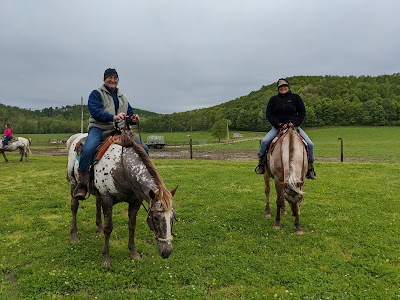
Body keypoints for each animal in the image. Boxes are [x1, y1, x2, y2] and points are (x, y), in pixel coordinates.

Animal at [67, 132, 177, 266]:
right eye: (155, 217)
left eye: (172, 217)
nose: (167, 252)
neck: (122, 167)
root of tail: (76, 137)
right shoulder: (108, 200)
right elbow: (108, 228)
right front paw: (106, 258)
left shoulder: (135, 201)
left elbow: (132, 225)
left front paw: (134, 253)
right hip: (73, 184)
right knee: (74, 207)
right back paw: (74, 235)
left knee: (97, 204)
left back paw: (99, 228)